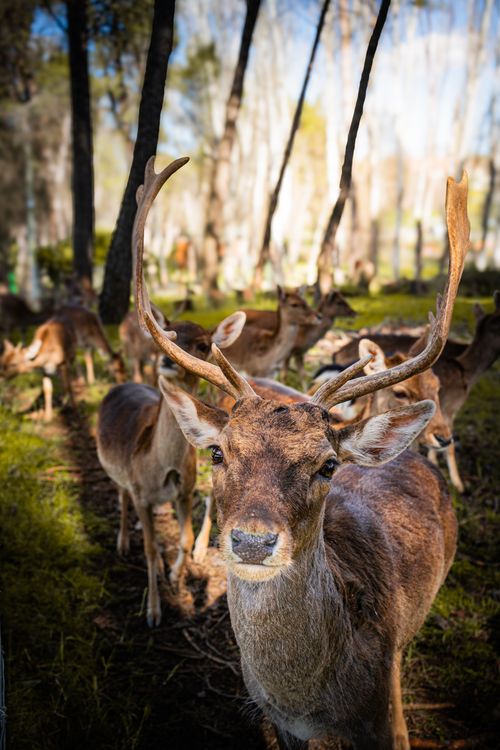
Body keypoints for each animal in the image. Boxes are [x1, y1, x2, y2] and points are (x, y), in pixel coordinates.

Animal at [96, 303, 246, 626]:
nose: (166, 359)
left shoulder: (185, 491)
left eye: (203, 344)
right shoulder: (140, 493)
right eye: (167, 332)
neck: (159, 467)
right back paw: (122, 543)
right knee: (121, 496)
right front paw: (153, 612)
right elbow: (151, 549)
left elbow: (186, 538)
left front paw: (177, 579)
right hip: (116, 470)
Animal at [133, 156, 468, 750]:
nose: (252, 540)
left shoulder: (384, 715)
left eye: (327, 464)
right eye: (217, 453)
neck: (311, 702)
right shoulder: (280, 725)